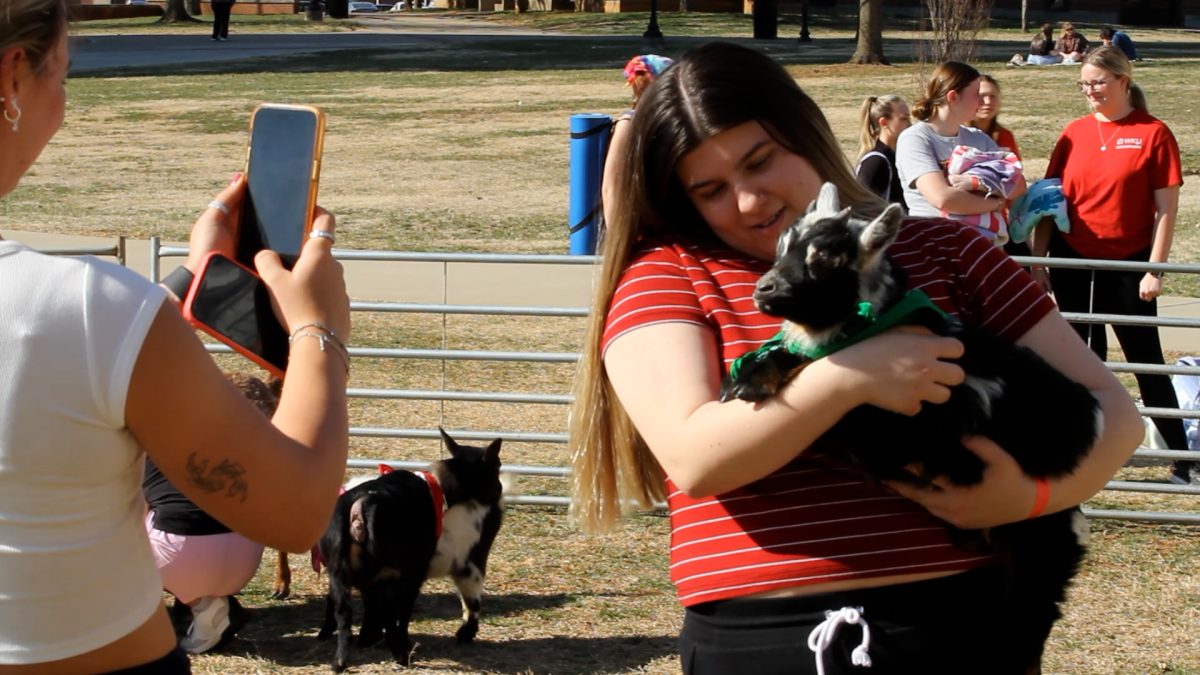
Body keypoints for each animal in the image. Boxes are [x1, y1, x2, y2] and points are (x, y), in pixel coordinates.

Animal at [720, 181, 1104, 667]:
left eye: (827, 259)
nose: (764, 290)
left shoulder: (893, 433)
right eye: (781, 246)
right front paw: (750, 377)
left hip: (1041, 548)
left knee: (1030, 623)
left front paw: (754, 379)